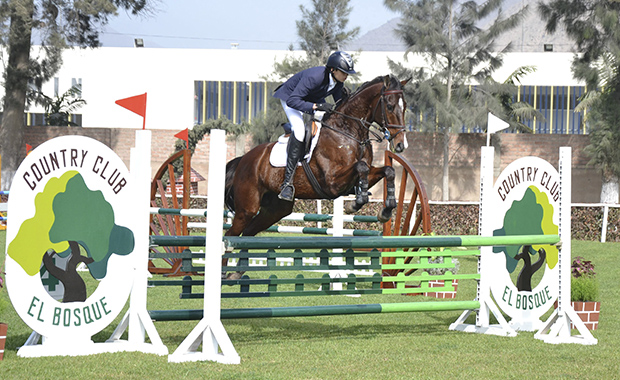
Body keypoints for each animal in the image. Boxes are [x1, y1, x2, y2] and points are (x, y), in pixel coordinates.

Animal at [225, 74, 410, 240]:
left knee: (247, 234)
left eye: (405, 106)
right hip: (247, 209)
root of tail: (243, 159)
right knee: (231, 234)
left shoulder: (359, 178)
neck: (348, 130)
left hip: (275, 210)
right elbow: (361, 167)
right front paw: (354, 204)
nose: (401, 145)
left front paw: (386, 210)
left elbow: (388, 171)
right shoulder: (332, 183)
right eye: (390, 106)